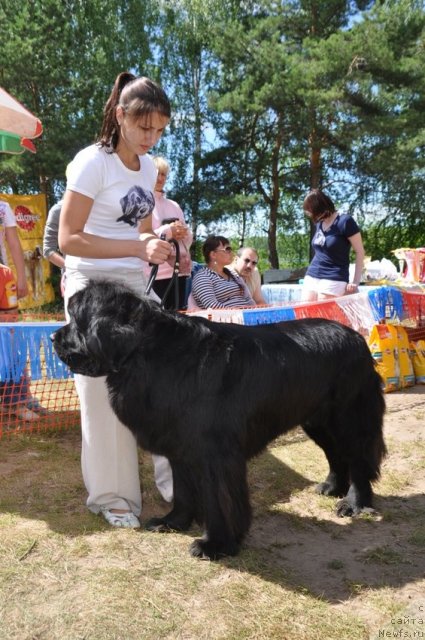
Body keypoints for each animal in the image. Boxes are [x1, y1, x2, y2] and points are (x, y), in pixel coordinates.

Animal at [52, 278, 384, 556]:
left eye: (75, 317)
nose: (54, 336)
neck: (146, 354)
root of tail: (357, 337)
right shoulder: (180, 448)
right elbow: (184, 491)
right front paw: (173, 522)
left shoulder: (215, 454)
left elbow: (218, 500)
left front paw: (216, 545)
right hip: (316, 420)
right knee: (336, 454)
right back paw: (331, 487)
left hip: (349, 417)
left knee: (358, 458)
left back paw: (354, 503)